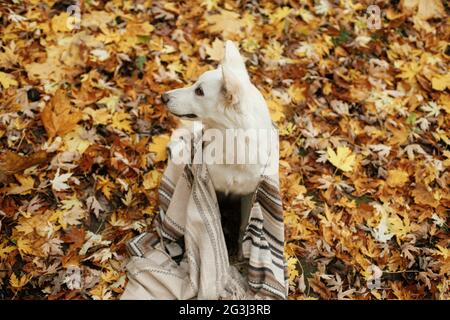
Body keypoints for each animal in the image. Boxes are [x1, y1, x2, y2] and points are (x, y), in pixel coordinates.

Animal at [162, 40, 274, 256]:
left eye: (199, 91)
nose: (164, 96)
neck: (233, 146)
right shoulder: (209, 187)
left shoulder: (251, 193)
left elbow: (245, 225)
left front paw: (241, 254)